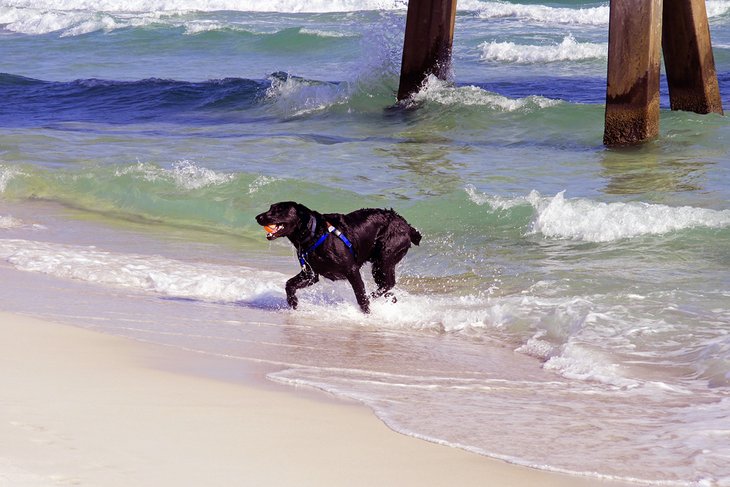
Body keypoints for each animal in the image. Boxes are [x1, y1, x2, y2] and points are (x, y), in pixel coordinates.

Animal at [255, 201, 420, 312]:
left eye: (278, 210)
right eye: (270, 208)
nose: (258, 217)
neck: (314, 234)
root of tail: (408, 227)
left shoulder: (352, 270)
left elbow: (360, 296)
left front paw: (366, 312)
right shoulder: (310, 274)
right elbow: (289, 284)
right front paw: (293, 302)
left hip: (384, 258)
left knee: (388, 283)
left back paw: (374, 297)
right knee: (387, 286)